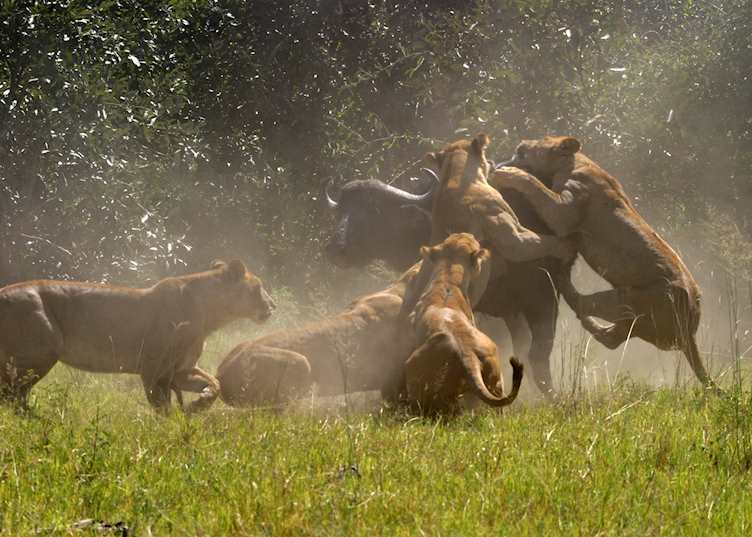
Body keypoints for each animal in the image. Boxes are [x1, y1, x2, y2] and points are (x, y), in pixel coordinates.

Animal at [0, 259, 275, 412]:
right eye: (259, 287)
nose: (273, 305)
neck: (210, 316)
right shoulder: (153, 370)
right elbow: (163, 408)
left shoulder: (180, 370)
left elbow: (215, 383)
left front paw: (199, 405)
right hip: (37, 356)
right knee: (12, 397)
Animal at [492, 135, 718, 391]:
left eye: (521, 151)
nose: (500, 162)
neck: (575, 162)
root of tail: (690, 331)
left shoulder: (563, 211)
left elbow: (534, 185)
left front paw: (508, 174)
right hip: (635, 320)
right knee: (610, 338)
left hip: (625, 299)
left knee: (583, 305)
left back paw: (566, 283)